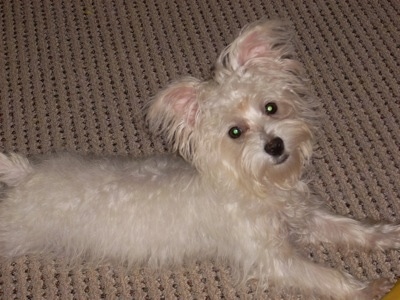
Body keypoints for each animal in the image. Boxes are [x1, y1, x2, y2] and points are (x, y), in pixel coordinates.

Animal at [0, 19, 396, 298]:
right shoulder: (271, 258)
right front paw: (366, 288)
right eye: (235, 132)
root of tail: (26, 173)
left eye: (271, 107)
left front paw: (388, 235)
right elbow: (325, 275)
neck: (255, 185)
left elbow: (349, 227)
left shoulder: (305, 218)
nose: (275, 145)